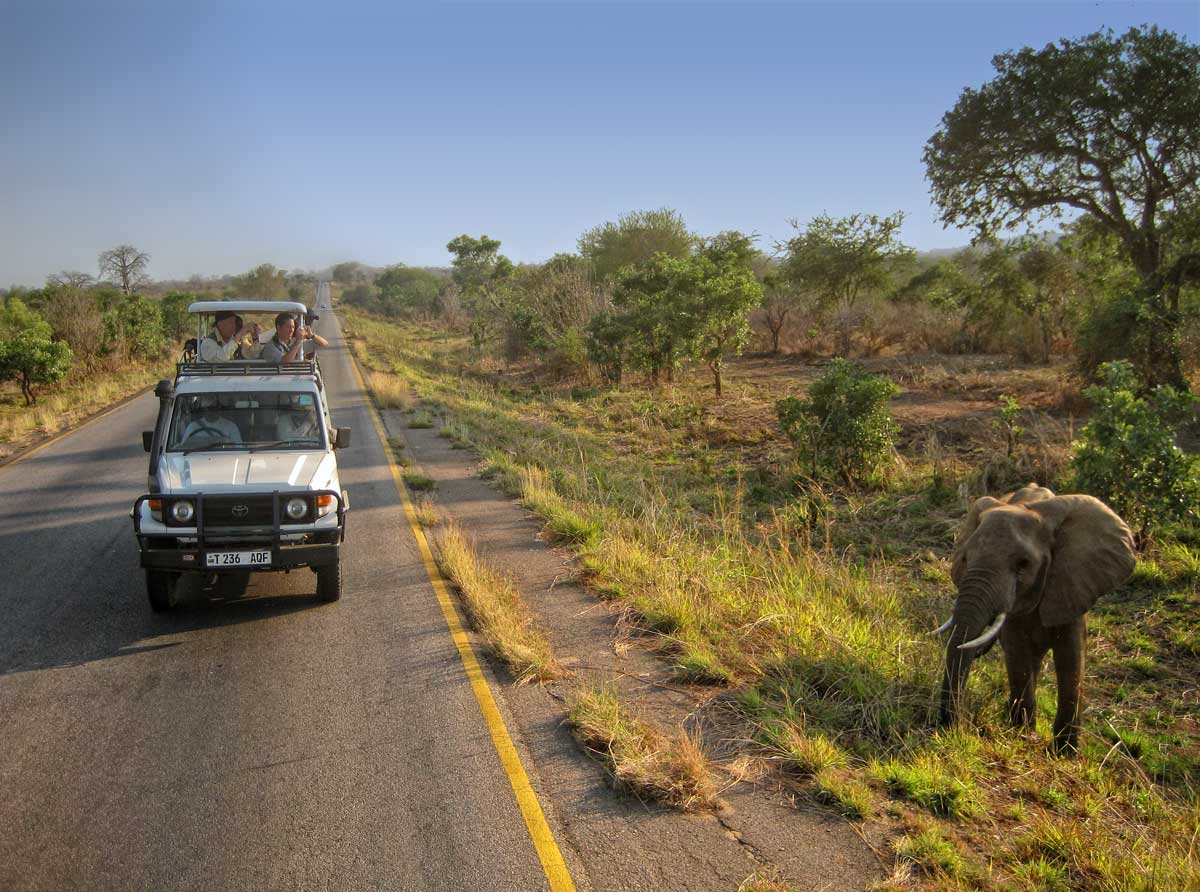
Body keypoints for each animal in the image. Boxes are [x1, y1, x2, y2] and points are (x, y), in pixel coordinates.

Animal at [932, 483, 1136, 753]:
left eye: (1023, 564)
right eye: (965, 559)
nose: (957, 726)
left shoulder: (1071, 582)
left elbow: (1072, 656)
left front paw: (1065, 752)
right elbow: (1017, 653)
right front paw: (1023, 736)